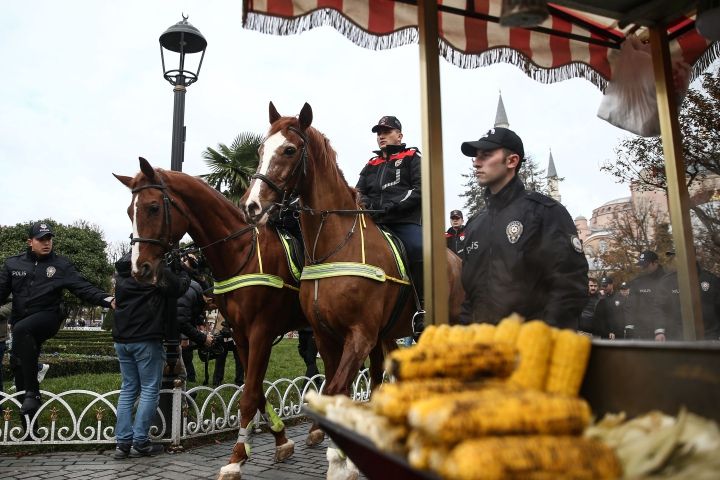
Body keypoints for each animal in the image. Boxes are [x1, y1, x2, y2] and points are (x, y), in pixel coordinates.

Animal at [114, 159, 318, 480]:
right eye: (128, 211)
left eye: (153, 207)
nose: (139, 268)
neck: (241, 252)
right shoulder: (241, 335)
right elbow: (254, 389)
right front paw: (280, 438)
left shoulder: (261, 332)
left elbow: (248, 394)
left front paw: (236, 457)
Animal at [240, 102, 466, 476]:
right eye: (260, 150)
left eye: (289, 150)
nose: (251, 206)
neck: (334, 244)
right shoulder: (326, 336)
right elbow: (337, 391)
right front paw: (343, 456)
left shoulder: (359, 334)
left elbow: (334, 391)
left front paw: (339, 460)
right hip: (388, 336)